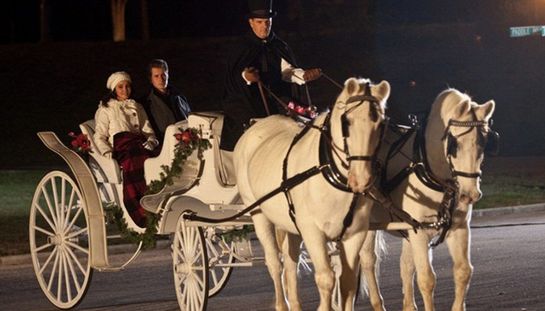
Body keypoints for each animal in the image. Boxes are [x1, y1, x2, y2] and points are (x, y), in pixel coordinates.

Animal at [234, 77, 392, 310]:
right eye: (347, 122)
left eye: (381, 124)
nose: (361, 180)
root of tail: (254, 128)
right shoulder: (312, 231)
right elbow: (326, 278)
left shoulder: (355, 234)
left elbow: (347, 281)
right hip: (259, 214)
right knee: (275, 264)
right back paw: (281, 303)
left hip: (289, 224)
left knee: (290, 263)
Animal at [360, 88, 496, 311]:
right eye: (454, 144)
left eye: (484, 143)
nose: (470, 194)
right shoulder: (420, 233)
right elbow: (426, 278)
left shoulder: (458, 228)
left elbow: (463, 271)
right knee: (368, 261)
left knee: (405, 265)